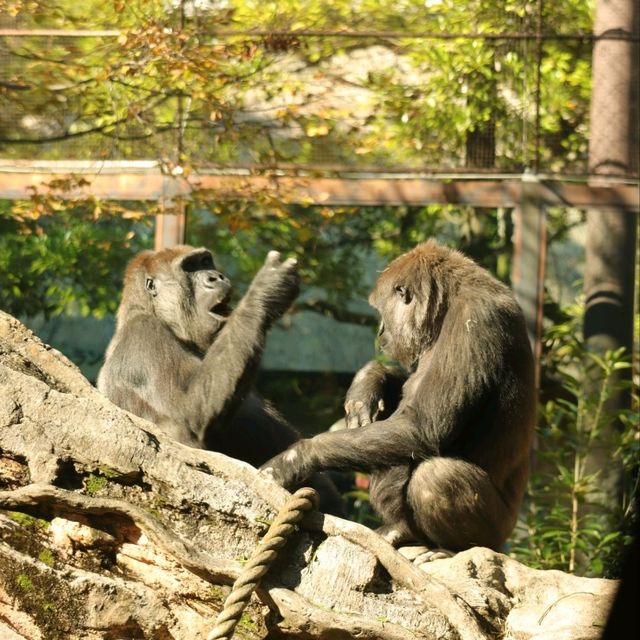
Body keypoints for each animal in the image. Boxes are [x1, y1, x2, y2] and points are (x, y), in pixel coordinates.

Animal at [96, 248, 344, 512]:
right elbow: (189, 418)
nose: (216, 277)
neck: (150, 311)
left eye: (205, 262)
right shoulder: (145, 335)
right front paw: (265, 291)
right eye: (190, 267)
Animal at [260, 240, 536, 552]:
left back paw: (440, 545)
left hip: (497, 533)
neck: (446, 306)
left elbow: (422, 426)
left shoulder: (474, 319)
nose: (381, 330)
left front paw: (296, 457)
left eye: (382, 311)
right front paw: (368, 380)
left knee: (435, 478)